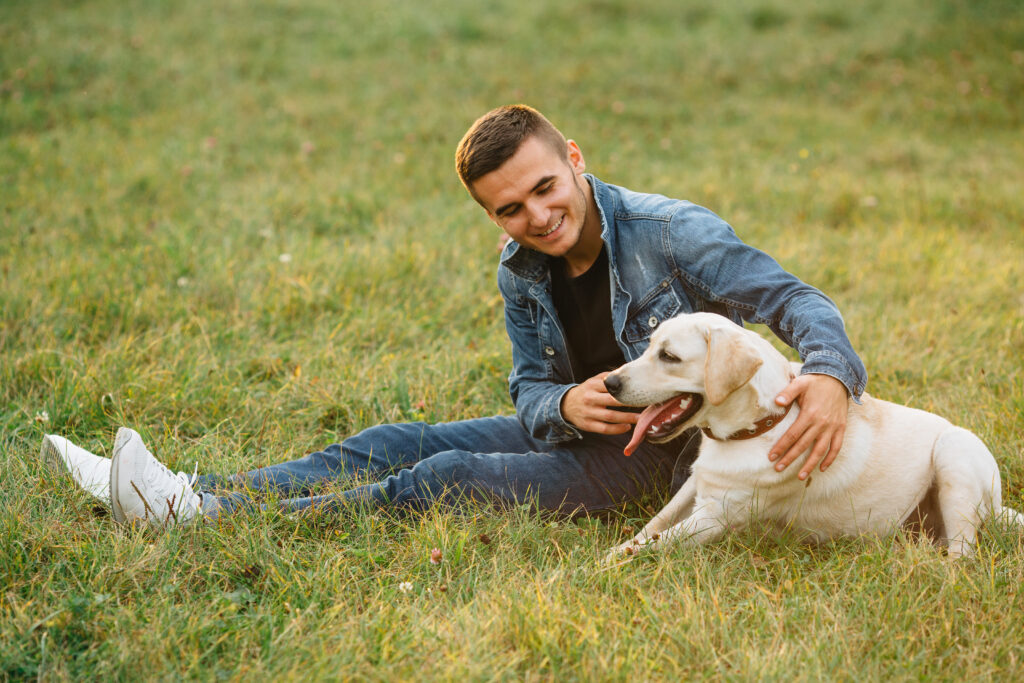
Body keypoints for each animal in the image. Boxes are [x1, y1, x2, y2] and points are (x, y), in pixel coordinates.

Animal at [602, 313, 1019, 557]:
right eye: (650, 347)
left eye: (669, 357)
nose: (609, 383)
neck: (757, 426)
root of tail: (996, 507)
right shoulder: (695, 487)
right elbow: (652, 527)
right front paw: (616, 549)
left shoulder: (713, 517)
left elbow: (652, 545)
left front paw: (602, 568)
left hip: (955, 453)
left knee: (963, 554)